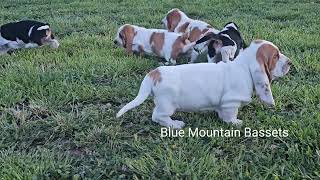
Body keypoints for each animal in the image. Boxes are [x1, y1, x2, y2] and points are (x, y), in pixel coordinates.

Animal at [117, 40, 292, 129]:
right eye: (275, 56)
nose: (290, 62)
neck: (244, 68)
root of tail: (154, 73)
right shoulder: (230, 103)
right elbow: (229, 116)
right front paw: (236, 122)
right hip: (167, 105)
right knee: (157, 116)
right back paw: (175, 124)